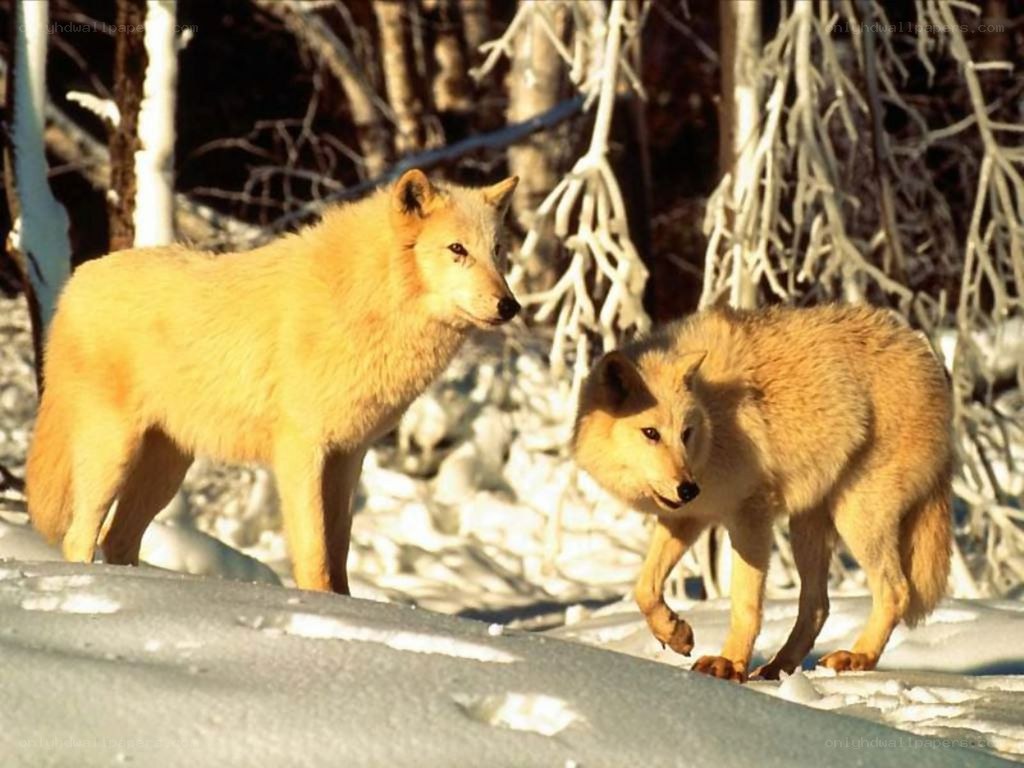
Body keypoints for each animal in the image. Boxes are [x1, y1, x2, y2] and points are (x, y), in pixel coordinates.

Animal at [27, 169, 519, 593]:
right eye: (457, 249)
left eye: (497, 251)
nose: (510, 306)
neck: (365, 300)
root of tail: (76, 282)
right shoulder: (302, 451)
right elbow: (315, 555)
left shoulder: (348, 456)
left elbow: (339, 552)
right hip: (113, 455)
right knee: (80, 537)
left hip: (166, 470)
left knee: (117, 538)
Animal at [574, 305, 953, 681]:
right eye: (650, 433)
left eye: (685, 433)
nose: (688, 488)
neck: (713, 419)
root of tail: (923, 352)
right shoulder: (688, 517)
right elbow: (644, 589)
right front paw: (676, 633)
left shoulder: (749, 513)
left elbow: (745, 603)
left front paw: (728, 664)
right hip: (807, 528)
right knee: (818, 605)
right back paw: (777, 668)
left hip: (857, 518)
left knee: (896, 591)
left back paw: (856, 657)